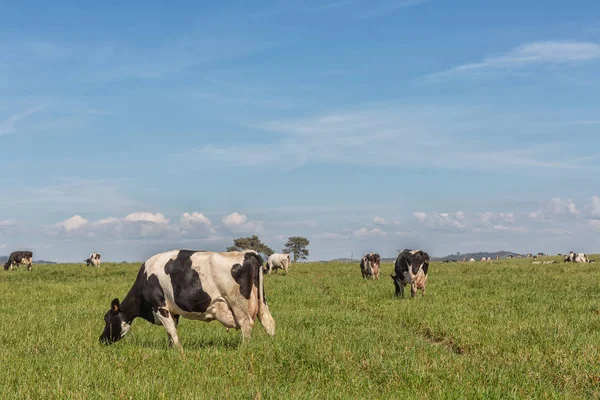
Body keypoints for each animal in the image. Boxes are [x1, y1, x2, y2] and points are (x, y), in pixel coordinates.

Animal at [99, 248, 276, 348]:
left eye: (107, 319)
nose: (101, 340)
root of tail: (248, 253)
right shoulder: (173, 312)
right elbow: (171, 331)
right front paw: (171, 348)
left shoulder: (159, 306)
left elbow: (170, 329)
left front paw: (178, 351)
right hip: (261, 301)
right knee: (269, 323)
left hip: (238, 303)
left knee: (246, 325)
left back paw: (244, 349)